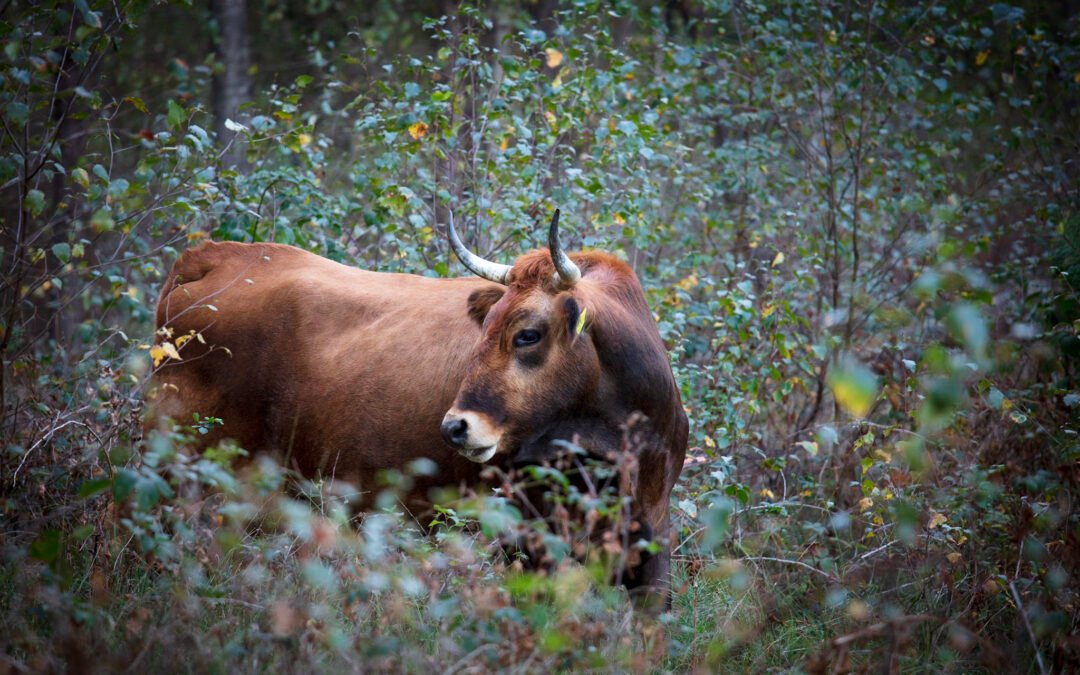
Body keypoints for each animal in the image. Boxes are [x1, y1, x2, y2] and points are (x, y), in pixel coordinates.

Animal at [147, 210, 686, 600]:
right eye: (485, 325)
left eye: (527, 334)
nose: (455, 428)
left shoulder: (650, 542)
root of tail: (210, 256)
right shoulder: (530, 540)